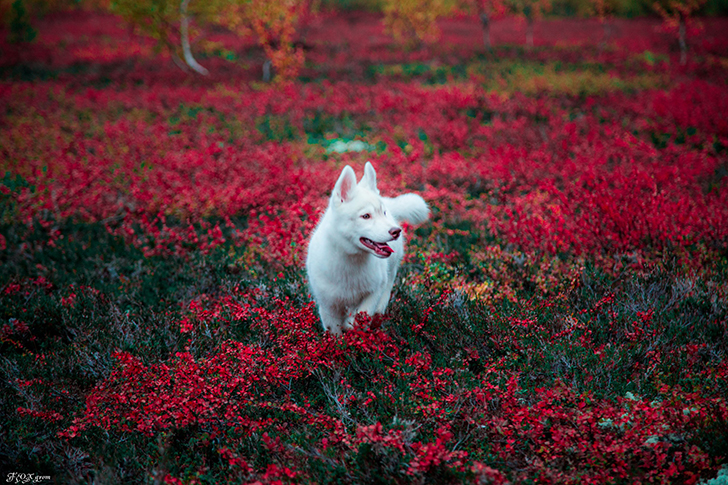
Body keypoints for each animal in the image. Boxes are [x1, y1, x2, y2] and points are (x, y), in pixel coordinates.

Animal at [306, 162, 430, 332]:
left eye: (383, 213)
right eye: (366, 216)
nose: (396, 231)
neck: (351, 261)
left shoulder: (374, 290)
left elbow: (361, 317)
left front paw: (354, 329)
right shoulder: (328, 305)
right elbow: (335, 332)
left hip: (390, 271)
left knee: (385, 292)